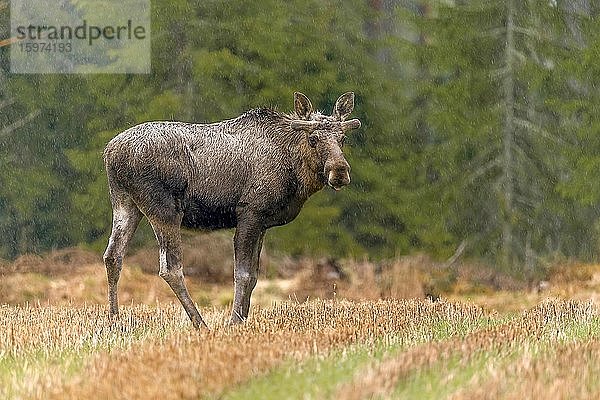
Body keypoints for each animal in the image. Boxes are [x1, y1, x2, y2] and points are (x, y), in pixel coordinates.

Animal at [102, 91, 360, 328]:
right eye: (313, 138)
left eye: (343, 138)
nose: (339, 171)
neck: (294, 173)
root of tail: (109, 153)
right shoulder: (250, 213)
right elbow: (242, 274)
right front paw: (234, 321)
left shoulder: (263, 223)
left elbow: (254, 276)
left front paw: (243, 319)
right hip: (164, 209)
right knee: (170, 268)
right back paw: (201, 324)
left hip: (125, 203)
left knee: (113, 255)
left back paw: (115, 319)